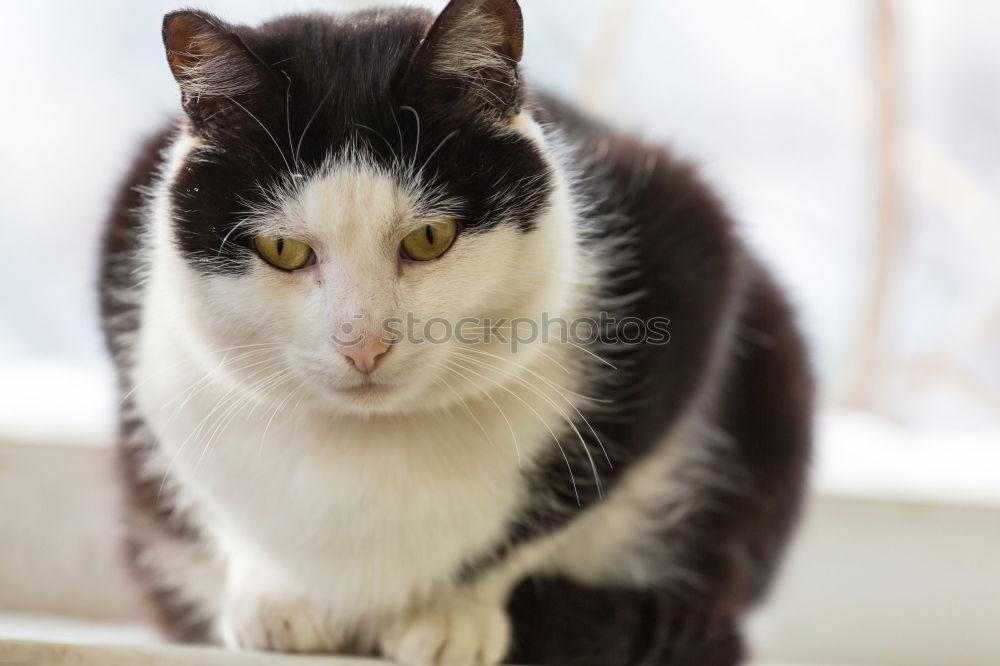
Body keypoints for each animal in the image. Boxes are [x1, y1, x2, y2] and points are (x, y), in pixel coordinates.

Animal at [97, 1, 808, 664]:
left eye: (429, 238)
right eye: (282, 249)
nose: (363, 343)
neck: (368, 449)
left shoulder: (687, 255)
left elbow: (554, 511)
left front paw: (450, 614)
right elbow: (211, 500)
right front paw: (276, 599)